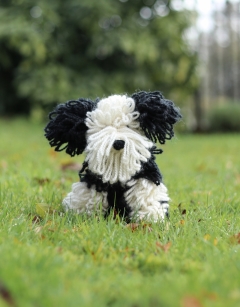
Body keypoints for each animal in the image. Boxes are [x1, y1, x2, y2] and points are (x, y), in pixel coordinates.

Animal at [44, 90, 181, 223]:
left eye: (128, 126)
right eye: (104, 128)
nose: (118, 143)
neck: (117, 170)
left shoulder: (144, 177)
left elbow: (145, 197)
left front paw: (149, 218)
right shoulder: (95, 183)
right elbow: (91, 199)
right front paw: (85, 217)